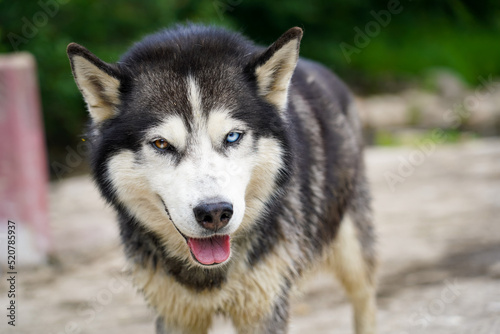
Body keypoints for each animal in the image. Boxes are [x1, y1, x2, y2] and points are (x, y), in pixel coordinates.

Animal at [68, 24, 376, 332]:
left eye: (232, 137)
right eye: (161, 144)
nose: (215, 213)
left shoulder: (264, 308)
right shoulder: (175, 314)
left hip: (354, 255)